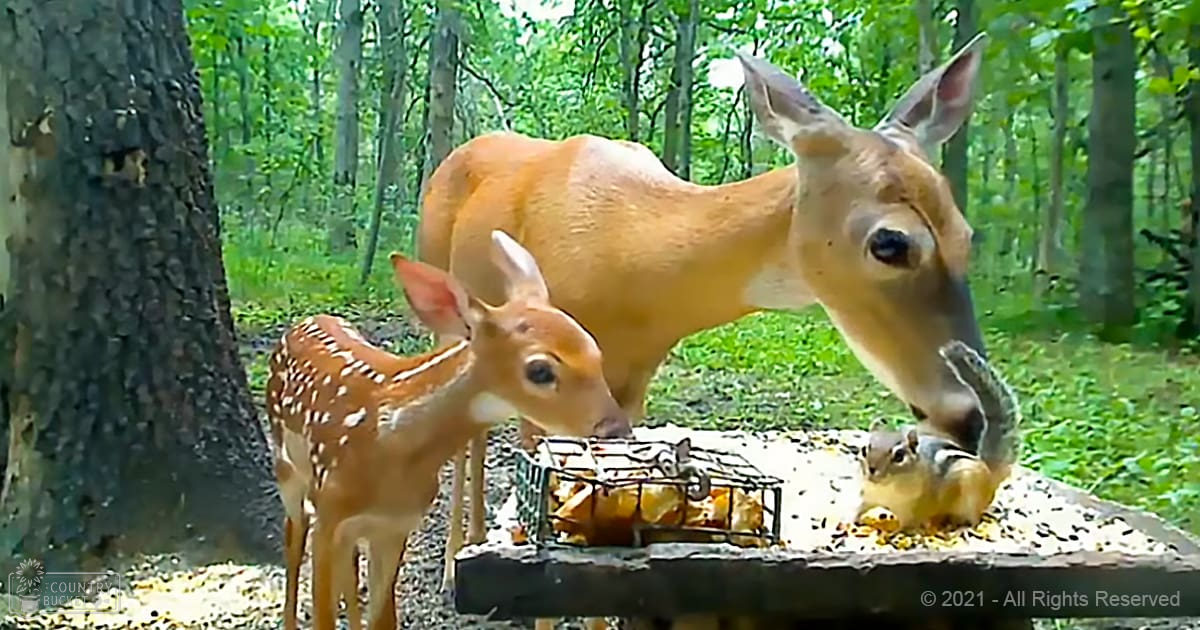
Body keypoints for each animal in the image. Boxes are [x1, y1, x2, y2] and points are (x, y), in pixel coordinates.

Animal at [266, 230, 633, 630]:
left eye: (595, 351)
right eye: (539, 370)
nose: (617, 430)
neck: (388, 441)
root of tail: (301, 323)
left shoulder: (395, 525)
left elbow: (383, 616)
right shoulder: (330, 515)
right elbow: (323, 613)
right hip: (287, 468)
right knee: (292, 537)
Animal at [419, 33, 992, 616]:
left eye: (966, 234)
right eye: (890, 243)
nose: (972, 418)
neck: (634, 260)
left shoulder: (629, 386)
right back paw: (452, 564)